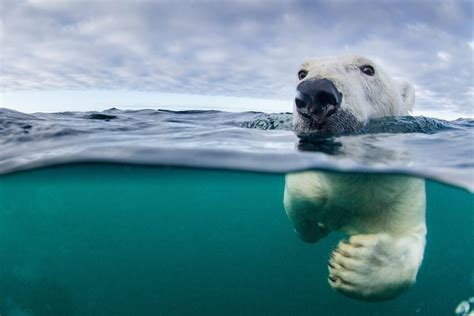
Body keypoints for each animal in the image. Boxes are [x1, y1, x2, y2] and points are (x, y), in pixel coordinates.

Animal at [284, 55, 428, 302]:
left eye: (368, 69)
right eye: (302, 73)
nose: (315, 94)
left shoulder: (403, 191)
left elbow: (409, 237)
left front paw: (354, 265)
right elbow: (301, 196)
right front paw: (317, 222)